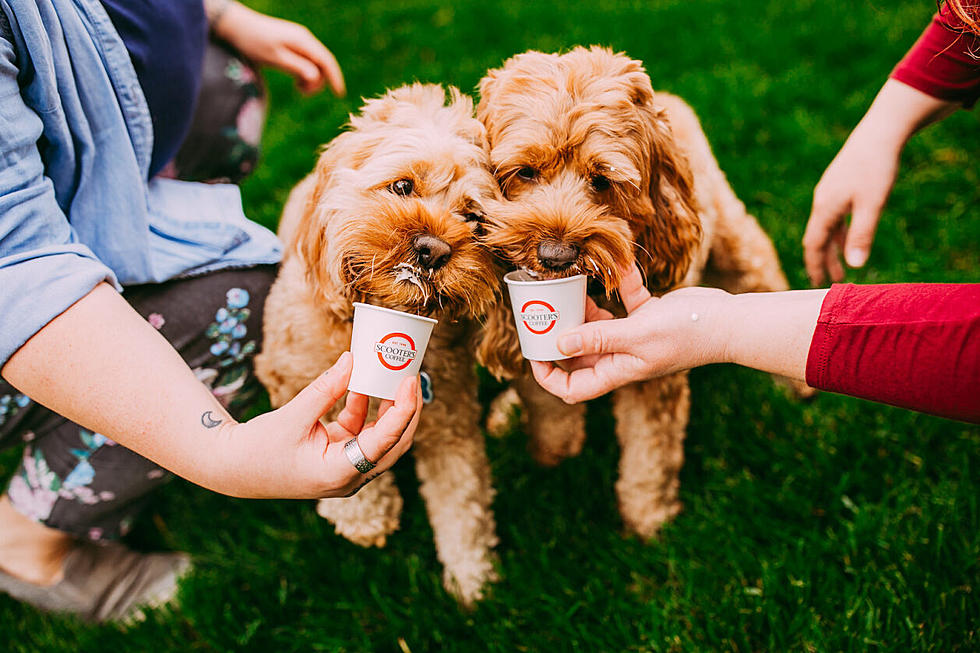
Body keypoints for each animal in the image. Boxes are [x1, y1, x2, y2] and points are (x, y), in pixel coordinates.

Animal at [255, 83, 498, 608]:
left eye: (473, 218)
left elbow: (463, 501)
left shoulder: (451, 426)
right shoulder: (286, 378)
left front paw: (473, 579)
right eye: (402, 187)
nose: (433, 249)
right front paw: (365, 516)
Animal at [470, 47, 808, 540]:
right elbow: (549, 412)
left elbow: (650, 452)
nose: (555, 255)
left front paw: (648, 521)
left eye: (602, 180)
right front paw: (553, 453)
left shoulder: (654, 378)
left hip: (738, 247)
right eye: (524, 173)